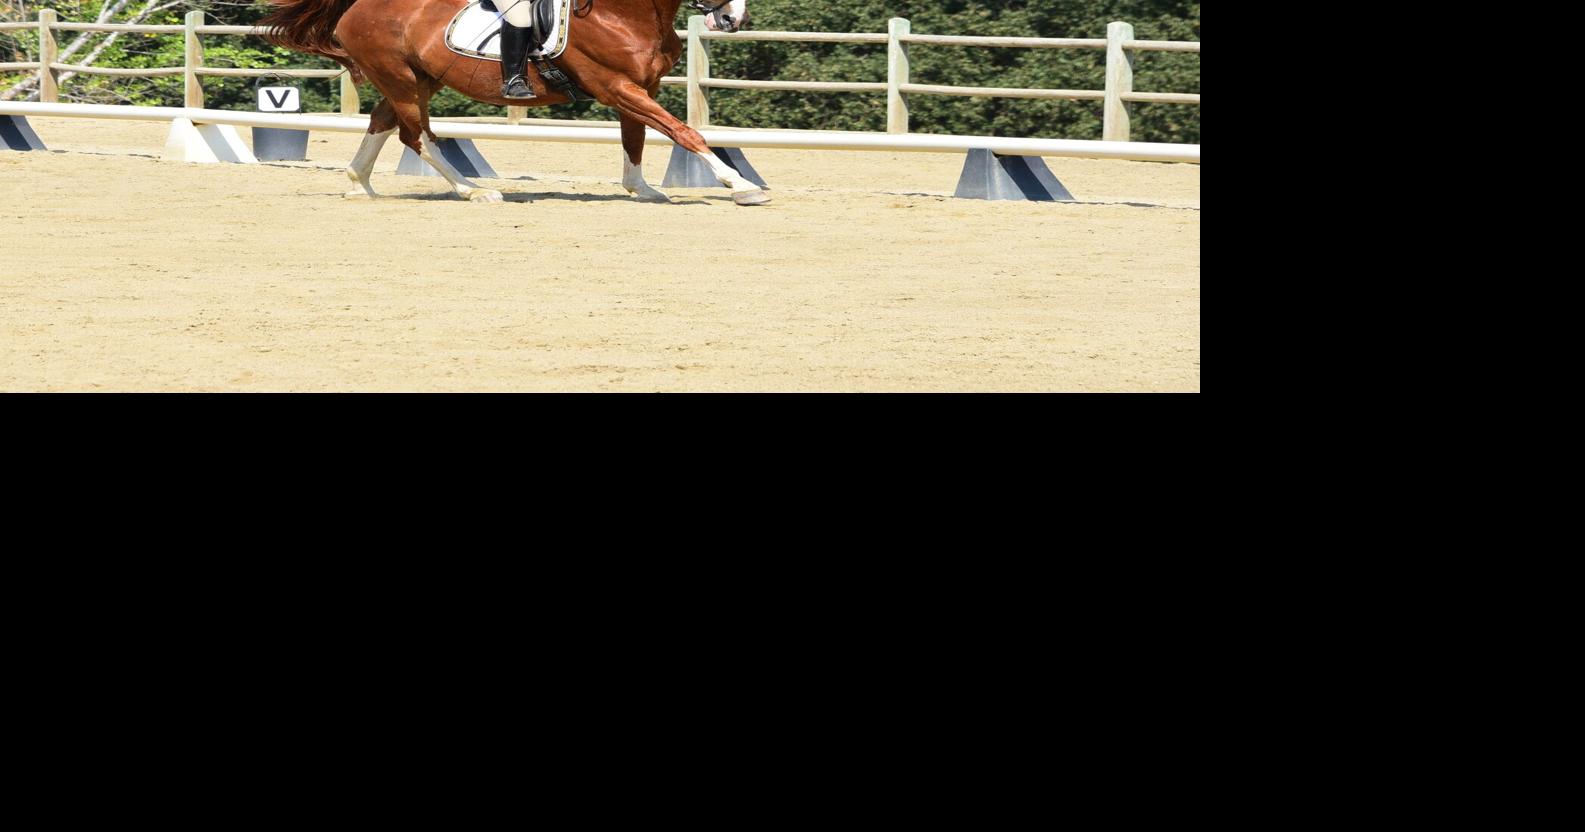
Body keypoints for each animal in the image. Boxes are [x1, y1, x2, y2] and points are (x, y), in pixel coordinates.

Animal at [260, 0, 769, 205]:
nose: (733, 18)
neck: (624, 12)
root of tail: (355, 7)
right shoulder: (617, 86)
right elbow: (684, 132)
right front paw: (741, 185)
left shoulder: (641, 87)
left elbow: (636, 139)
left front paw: (640, 189)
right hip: (402, 80)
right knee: (415, 135)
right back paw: (472, 190)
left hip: (420, 79)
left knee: (383, 123)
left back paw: (359, 184)